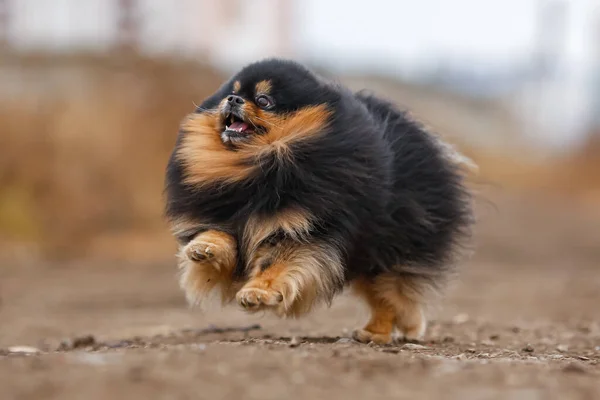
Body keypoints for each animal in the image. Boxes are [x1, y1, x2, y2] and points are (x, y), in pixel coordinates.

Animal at [163, 58, 474, 344]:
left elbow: (276, 265)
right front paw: (204, 247)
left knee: (394, 295)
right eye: (232, 92)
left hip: (389, 252)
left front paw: (258, 292)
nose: (233, 99)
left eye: (264, 101)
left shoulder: (303, 231)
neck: (256, 166)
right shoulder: (224, 213)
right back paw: (376, 332)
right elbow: (216, 234)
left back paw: (385, 332)